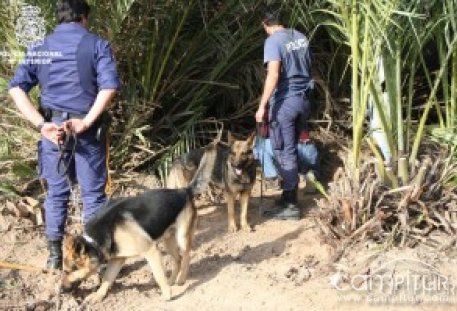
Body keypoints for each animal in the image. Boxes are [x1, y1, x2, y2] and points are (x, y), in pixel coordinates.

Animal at [60, 186, 200, 304]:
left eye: (67, 271)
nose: (60, 291)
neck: (94, 242)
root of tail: (184, 190)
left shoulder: (151, 251)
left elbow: (159, 275)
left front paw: (167, 295)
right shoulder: (117, 260)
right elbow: (107, 278)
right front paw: (98, 295)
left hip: (181, 237)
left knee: (187, 256)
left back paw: (181, 279)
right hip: (167, 241)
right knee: (178, 259)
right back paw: (171, 280)